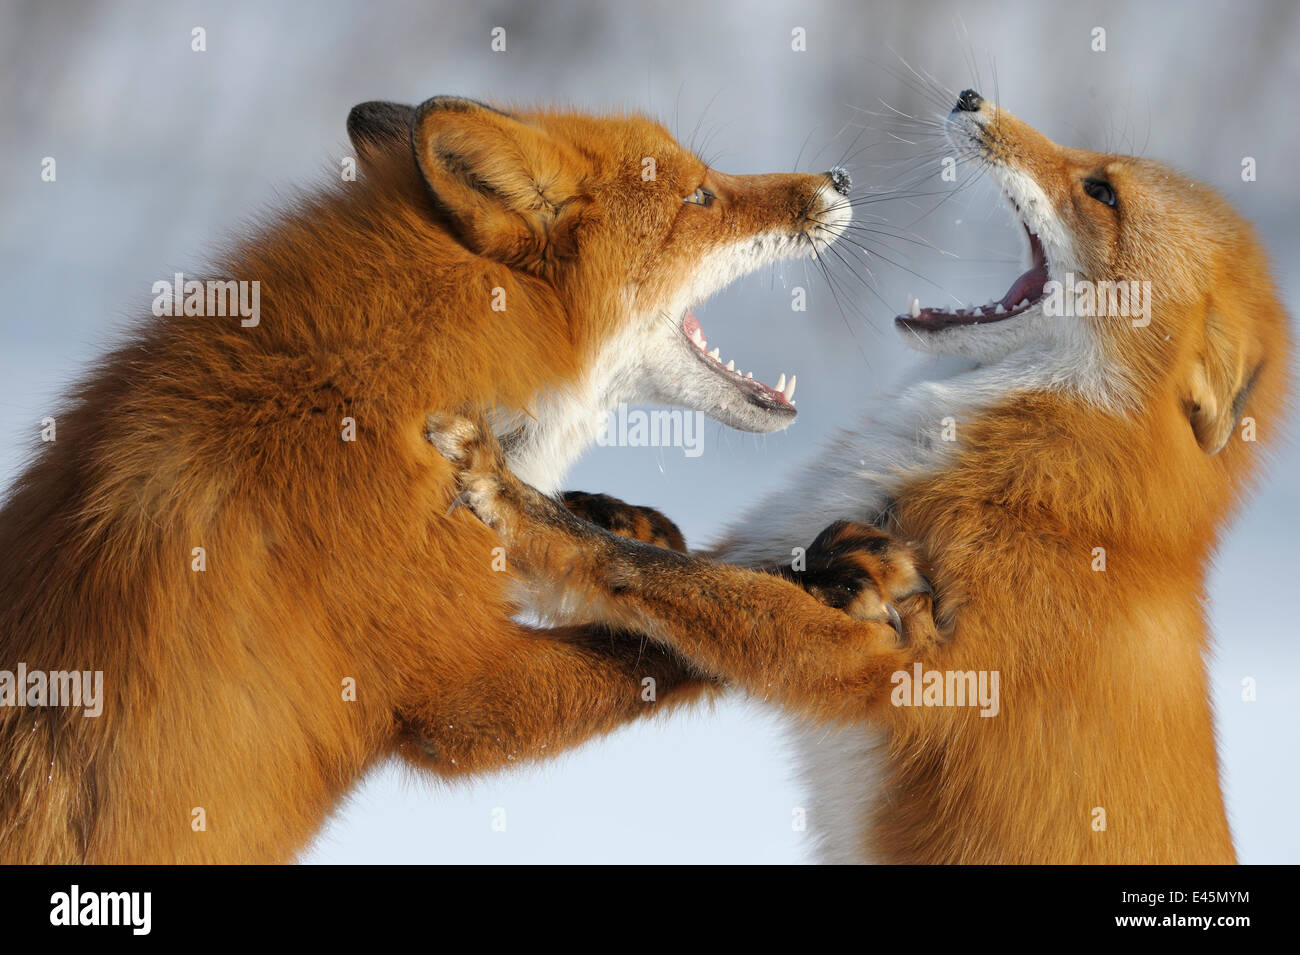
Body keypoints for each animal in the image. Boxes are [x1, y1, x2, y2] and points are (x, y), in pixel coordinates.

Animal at [0, 95, 871, 863]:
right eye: (700, 195)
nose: (840, 178)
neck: (382, 395)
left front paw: (609, 517)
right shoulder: (461, 696)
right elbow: (665, 639)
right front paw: (816, 596)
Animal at [428, 89, 1291, 864]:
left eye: (1101, 192)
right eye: (1092, 168)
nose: (972, 97)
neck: (1050, 491)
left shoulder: (894, 664)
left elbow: (648, 571)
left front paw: (513, 498)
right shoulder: (807, 556)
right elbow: (680, 566)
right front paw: (607, 510)